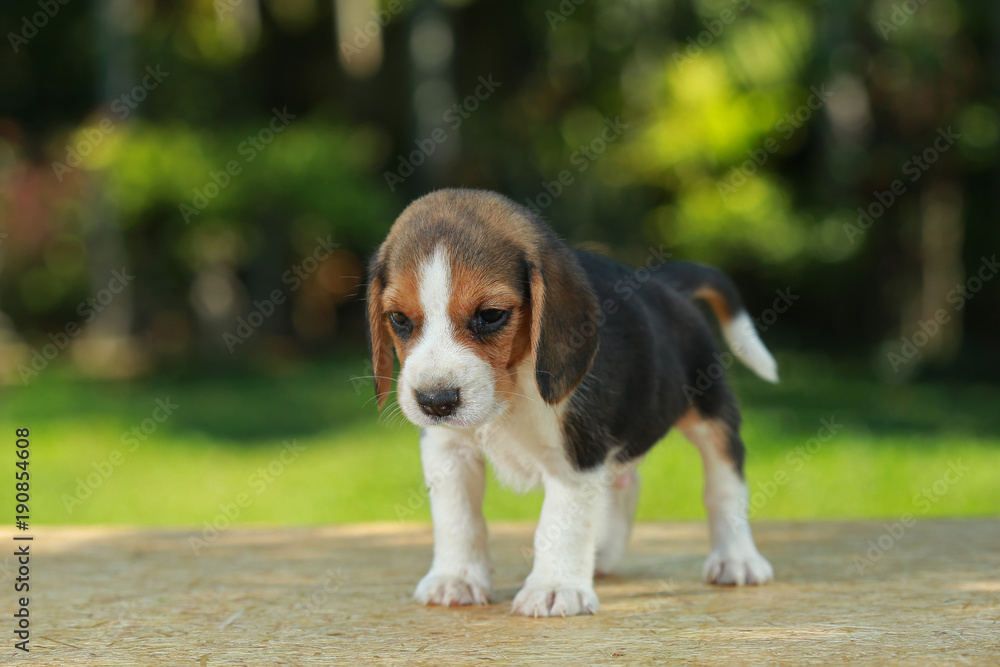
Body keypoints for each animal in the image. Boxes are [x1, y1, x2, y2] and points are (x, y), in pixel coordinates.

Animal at [370, 190, 780, 620]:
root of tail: (667, 286)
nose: (435, 402)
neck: (514, 387)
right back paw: (602, 553)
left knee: (723, 484)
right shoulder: (448, 451)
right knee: (625, 482)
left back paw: (737, 559)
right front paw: (456, 578)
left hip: (710, 412)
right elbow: (457, 518)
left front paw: (554, 587)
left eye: (491, 315)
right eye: (398, 319)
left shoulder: (577, 455)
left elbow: (560, 523)